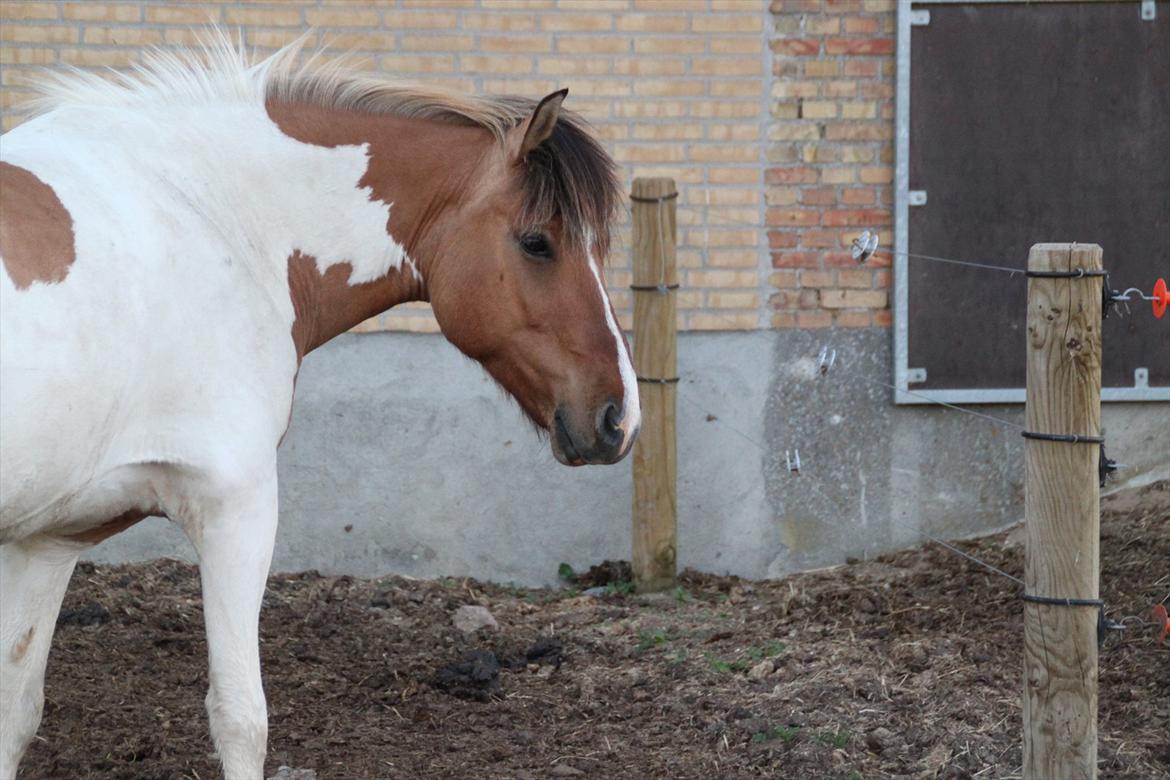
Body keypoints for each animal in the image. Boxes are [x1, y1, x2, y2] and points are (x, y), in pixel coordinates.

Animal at [0, 39, 641, 776]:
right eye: (538, 242)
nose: (619, 418)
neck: (207, 217)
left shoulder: (50, 538)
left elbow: (16, 716)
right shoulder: (237, 508)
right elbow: (241, 719)